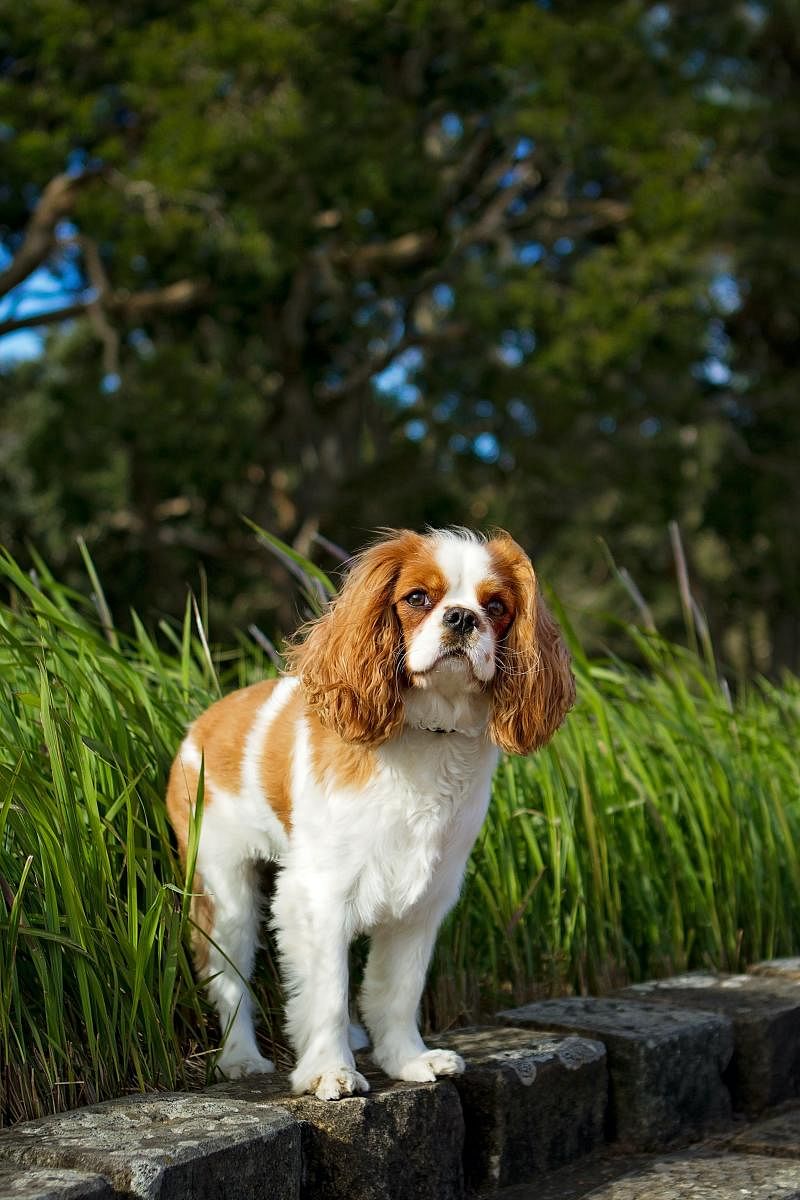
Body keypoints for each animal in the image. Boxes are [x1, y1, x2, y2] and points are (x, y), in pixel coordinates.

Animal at [165, 530, 573, 1099]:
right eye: (417, 598)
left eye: (496, 607)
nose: (462, 618)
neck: (430, 735)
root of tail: (200, 726)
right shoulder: (319, 894)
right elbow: (329, 992)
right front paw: (329, 1070)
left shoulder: (424, 900)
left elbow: (398, 990)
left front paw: (408, 1060)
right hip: (223, 890)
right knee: (228, 978)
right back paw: (240, 1058)